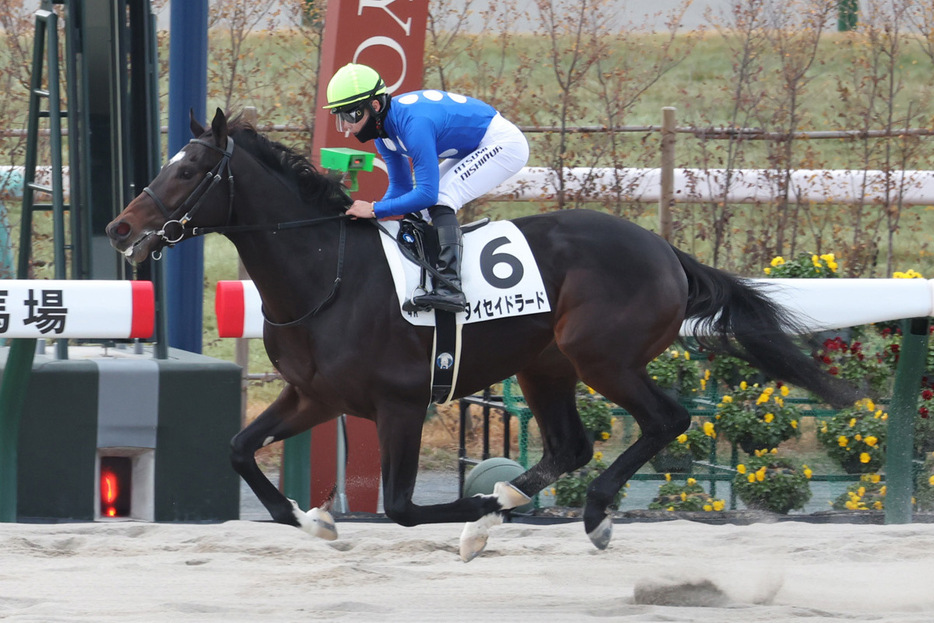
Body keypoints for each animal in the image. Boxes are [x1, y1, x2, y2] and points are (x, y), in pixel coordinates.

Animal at [106, 109, 860, 564]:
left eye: (188, 169)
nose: (119, 227)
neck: (327, 273)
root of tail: (664, 250)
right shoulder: (315, 396)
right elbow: (239, 448)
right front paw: (309, 518)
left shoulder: (401, 405)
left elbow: (402, 508)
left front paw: (469, 505)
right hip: (546, 366)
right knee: (569, 444)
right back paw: (506, 504)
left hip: (603, 357)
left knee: (663, 420)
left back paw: (581, 513)